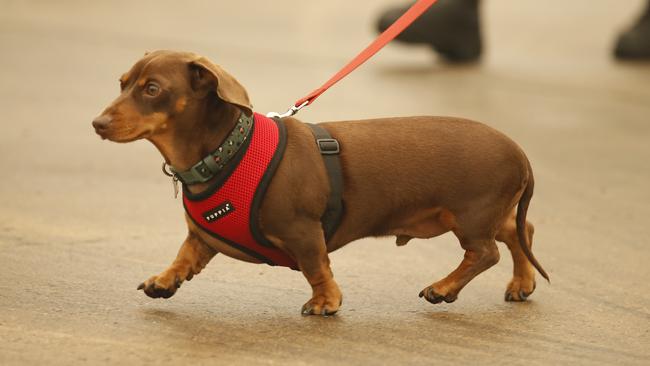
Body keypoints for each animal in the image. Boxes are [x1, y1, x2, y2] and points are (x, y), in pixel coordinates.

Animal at [92, 50, 548, 316]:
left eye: (153, 89)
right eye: (122, 83)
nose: (97, 123)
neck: (227, 150)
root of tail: (520, 150)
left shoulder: (302, 231)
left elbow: (316, 267)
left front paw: (325, 301)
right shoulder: (202, 238)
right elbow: (184, 257)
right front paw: (164, 281)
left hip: (470, 216)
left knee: (485, 253)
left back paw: (443, 287)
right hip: (485, 215)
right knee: (520, 231)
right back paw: (521, 283)